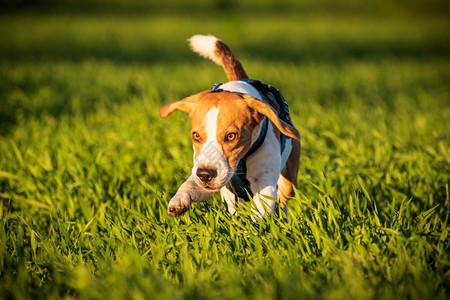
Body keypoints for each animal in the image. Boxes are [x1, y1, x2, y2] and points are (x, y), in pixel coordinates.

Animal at [160, 34, 300, 218]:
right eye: (196, 136)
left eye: (231, 136)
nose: (205, 174)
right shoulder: (208, 176)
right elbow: (190, 184)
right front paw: (179, 200)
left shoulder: (265, 185)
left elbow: (259, 212)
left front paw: (252, 226)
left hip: (289, 180)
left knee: (284, 201)